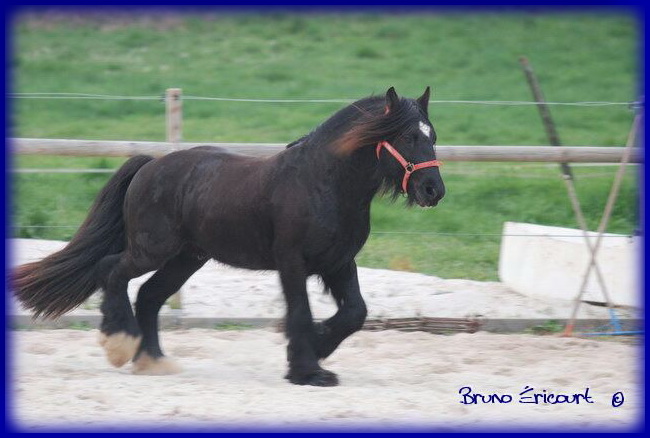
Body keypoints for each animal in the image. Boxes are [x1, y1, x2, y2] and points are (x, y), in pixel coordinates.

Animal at [15, 86, 442, 386]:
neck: (323, 183)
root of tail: (150, 166)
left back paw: (153, 361)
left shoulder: (338, 262)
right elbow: (301, 313)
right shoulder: (292, 262)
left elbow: (355, 312)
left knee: (148, 296)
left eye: (432, 135)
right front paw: (307, 370)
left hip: (187, 257)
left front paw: (318, 351)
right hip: (152, 249)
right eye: (407, 137)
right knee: (111, 271)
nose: (433, 191)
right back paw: (120, 344)